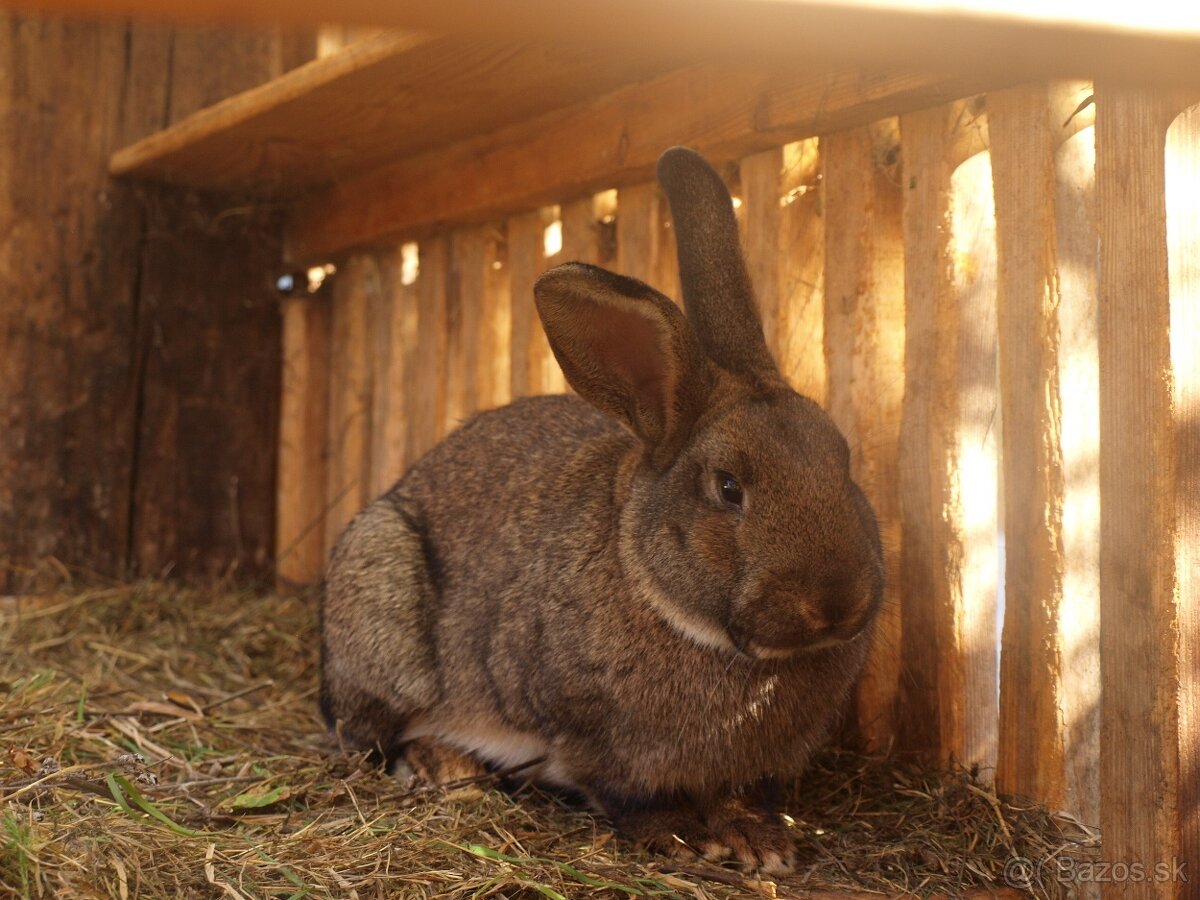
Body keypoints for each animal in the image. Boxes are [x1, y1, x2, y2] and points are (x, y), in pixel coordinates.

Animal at [319, 148, 883, 873]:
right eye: (729, 487)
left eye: (844, 462)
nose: (837, 604)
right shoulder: (581, 731)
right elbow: (626, 793)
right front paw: (681, 836)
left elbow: (738, 795)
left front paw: (760, 845)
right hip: (381, 596)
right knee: (371, 735)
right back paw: (446, 768)